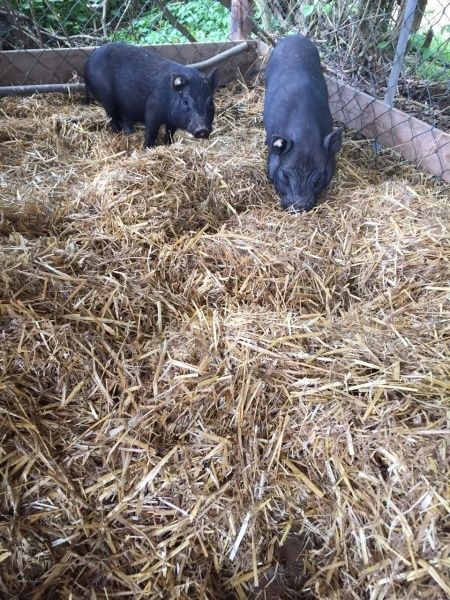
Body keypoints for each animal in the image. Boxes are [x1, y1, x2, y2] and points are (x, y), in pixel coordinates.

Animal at [85, 42, 219, 148]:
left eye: (211, 102)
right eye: (186, 102)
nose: (202, 129)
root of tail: (88, 60)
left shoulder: (173, 120)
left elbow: (170, 133)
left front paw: (167, 145)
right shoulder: (152, 109)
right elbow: (151, 132)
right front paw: (146, 148)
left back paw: (129, 132)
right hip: (105, 97)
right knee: (111, 117)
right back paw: (117, 133)